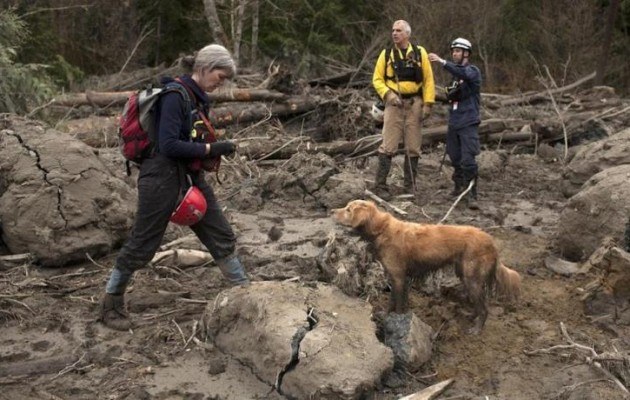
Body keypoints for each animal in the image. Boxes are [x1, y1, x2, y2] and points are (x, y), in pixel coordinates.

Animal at [334, 200, 520, 334]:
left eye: (348, 210)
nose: (332, 212)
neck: (381, 229)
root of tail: (491, 241)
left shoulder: (398, 277)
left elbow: (397, 304)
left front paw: (393, 321)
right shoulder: (400, 278)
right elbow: (397, 301)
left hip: (472, 278)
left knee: (484, 308)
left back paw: (476, 329)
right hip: (464, 274)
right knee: (477, 304)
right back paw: (471, 316)